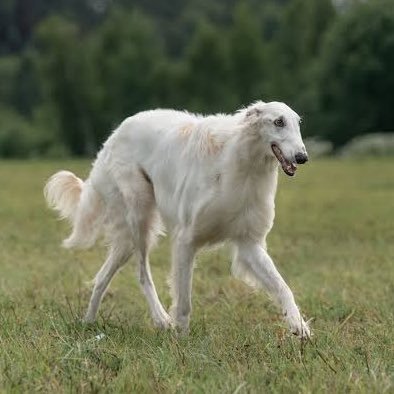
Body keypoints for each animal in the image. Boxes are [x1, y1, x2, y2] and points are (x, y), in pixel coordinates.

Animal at [43, 100, 310, 338]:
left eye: (298, 123)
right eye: (278, 121)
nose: (302, 157)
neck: (239, 164)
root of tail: (114, 135)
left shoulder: (248, 244)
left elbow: (283, 287)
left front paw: (299, 326)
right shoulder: (186, 240)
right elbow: (183, 301)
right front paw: (181, 339)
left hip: (128, 238)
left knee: (102, 277)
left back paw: (88, 322)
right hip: (140, 217)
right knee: (142, 274)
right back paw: (161, 320)